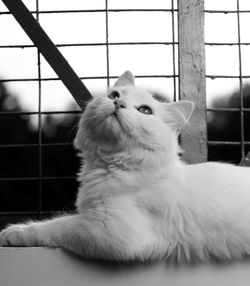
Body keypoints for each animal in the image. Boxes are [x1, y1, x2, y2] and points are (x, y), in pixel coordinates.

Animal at [0, 70, 250, 262]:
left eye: (145, 110)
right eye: (114, 95)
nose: (117, 103)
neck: (112, 164)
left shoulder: (110, 230)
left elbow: (58, 225)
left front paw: (15, 232)